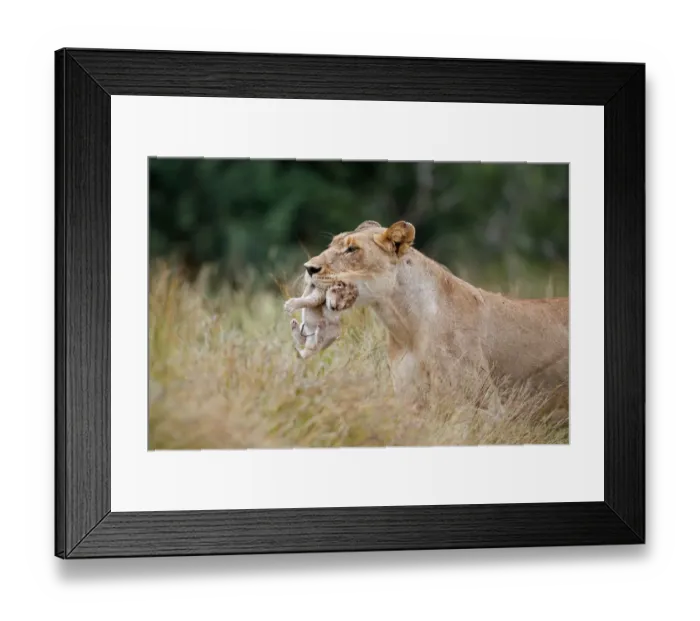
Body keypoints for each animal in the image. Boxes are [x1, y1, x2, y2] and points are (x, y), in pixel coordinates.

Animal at [298, 219, 569, 414]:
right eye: (332, 244)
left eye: (352, 249)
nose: (309, 268)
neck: (405, 326)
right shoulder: (409, 397)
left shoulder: (482, 406)